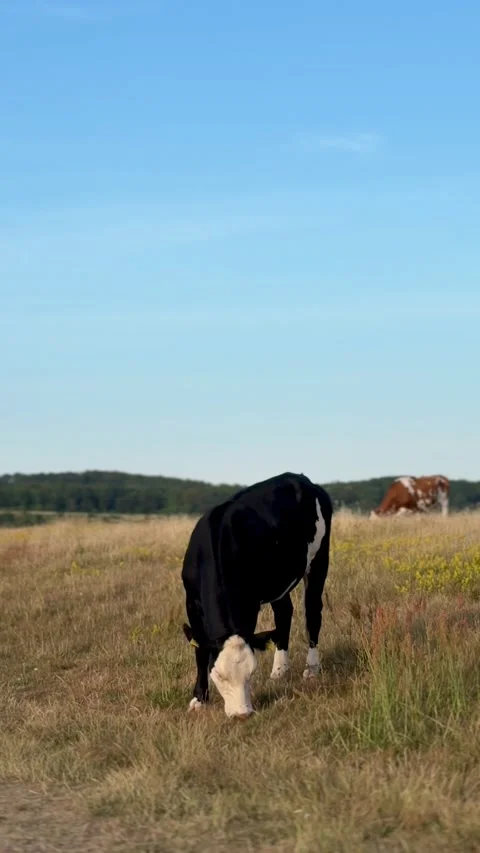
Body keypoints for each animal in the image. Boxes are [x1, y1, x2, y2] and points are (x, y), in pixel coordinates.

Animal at [181, 472, 333, 719]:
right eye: (219, 675)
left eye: (251, 672)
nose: (242, 714)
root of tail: (299, 478)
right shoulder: (191, 601)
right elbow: (200, 651)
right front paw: (198, 699)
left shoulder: (248, 603)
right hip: (279, 577)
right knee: (284, 612)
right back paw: (280, 670)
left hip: (319, 558)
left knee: (312, 611)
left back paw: (311, 668)